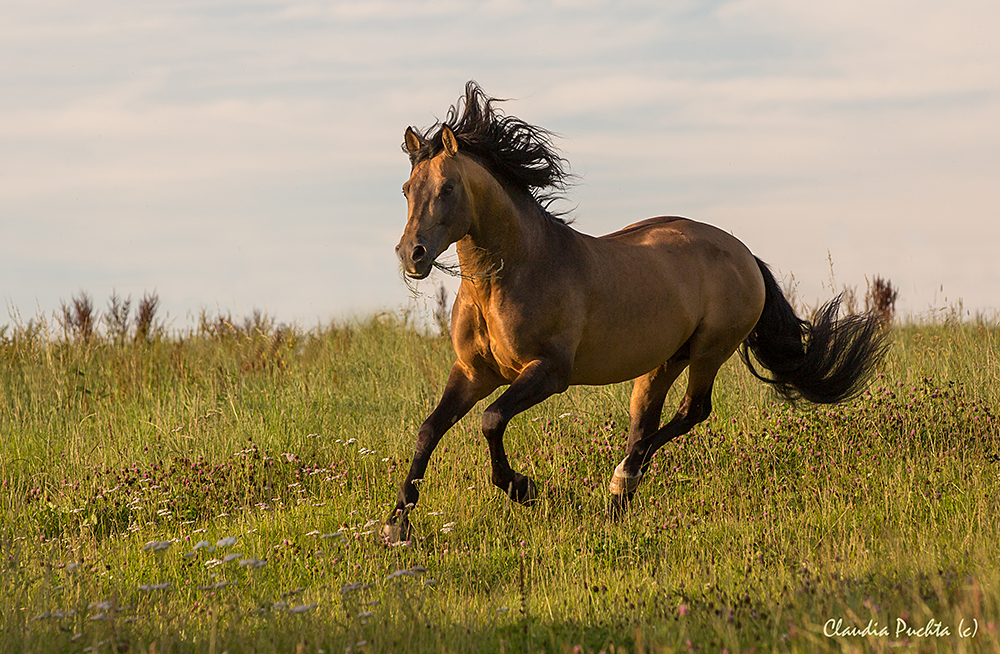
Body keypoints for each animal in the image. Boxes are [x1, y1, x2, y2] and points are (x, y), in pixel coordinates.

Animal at [380, 80, 884, 544]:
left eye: (447, 188)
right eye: (406, 189)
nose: (412, 255)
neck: (512, 274)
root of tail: (744, 254)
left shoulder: (548, 372)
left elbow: (491, 421)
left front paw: (525, 488)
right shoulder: (472, 372)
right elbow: (428, 430)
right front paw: (395, 526)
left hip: (709, 351)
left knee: (691, 411)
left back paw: (621, 477)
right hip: (663, 361)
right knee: (648, 420)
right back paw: (617, 503)